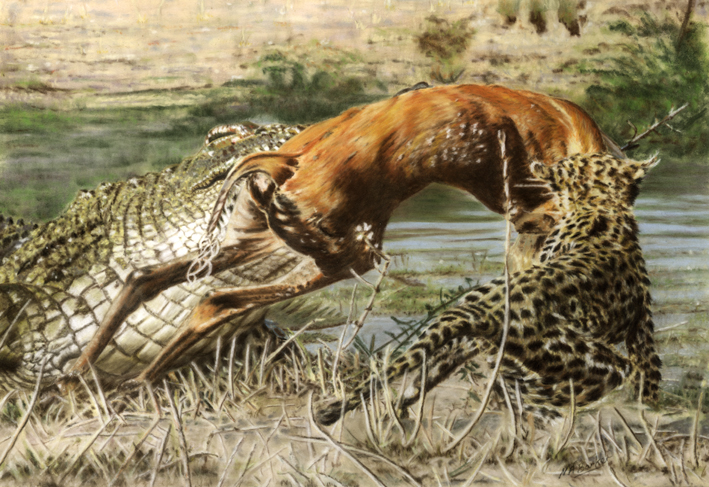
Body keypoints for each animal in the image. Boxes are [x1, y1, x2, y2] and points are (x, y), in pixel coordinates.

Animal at [317, 152, 662, 425]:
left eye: (571, 163)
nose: (544, 161)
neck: (603, 205)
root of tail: (487, 310)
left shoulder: (641, 324)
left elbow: (649, 369)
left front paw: (650, 406)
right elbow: (649, 368)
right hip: (578, 360)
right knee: (529, 389)